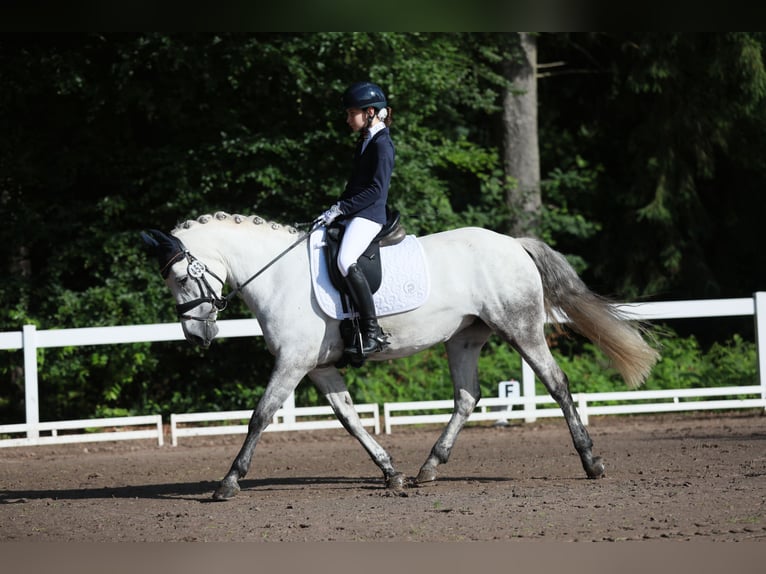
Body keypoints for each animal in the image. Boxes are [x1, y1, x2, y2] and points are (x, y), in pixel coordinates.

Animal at [142, 214, 660, 502]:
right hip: (464, 339)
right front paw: (392, 474)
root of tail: (514, 244)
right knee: (467, 397)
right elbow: (350, 419)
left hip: (522, 329)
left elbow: (260, 416)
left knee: (557, 384)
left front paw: (228, 483)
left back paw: (591, 462)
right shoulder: (319, 367)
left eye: (181, 278)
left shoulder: (293, 362)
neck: (278, 275)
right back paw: (430, 467)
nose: (197, 336)